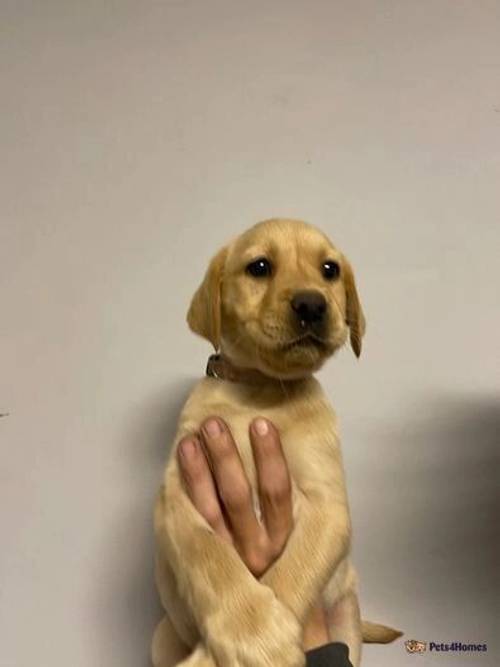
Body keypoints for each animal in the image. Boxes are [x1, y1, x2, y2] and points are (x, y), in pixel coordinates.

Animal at [150, 220, 400, 667]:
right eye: (260, 267)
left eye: (329, 270)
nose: (312, 304)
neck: (261, 390)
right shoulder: (175, 492)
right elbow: (208, 553)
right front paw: (252, 634)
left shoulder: (328, 507)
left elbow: (291, 571)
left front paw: (256, 642)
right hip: (161, 637)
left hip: (347, 620)